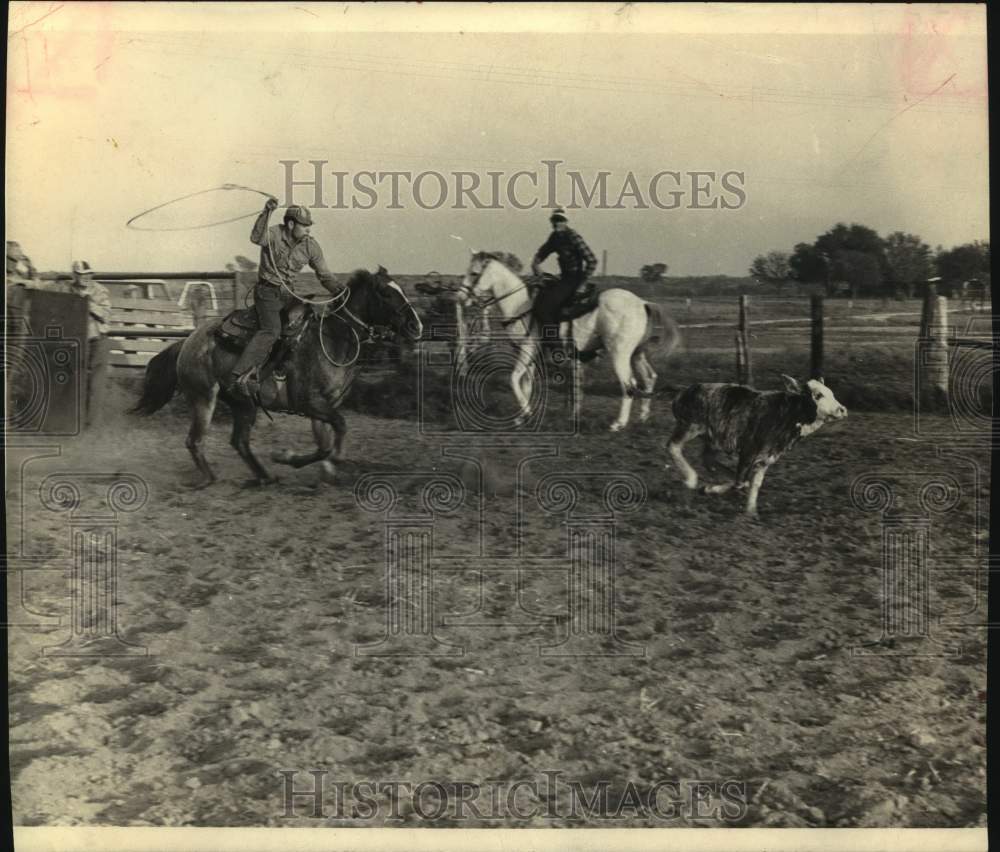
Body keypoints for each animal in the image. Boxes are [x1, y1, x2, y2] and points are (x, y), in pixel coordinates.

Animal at [130, 270, 422, 490]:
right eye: (386, 293)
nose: (415, 326)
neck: (333, 339)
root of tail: (188, 341)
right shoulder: (310, 403)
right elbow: (336, 432)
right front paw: (289, 457)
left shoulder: (323, 406)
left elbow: (324, 444)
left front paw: (323, 474)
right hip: (204, 397)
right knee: (195, 440)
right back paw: (210, 479)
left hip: (243, 404)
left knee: (239, 442)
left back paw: (265, 476)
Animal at [458, 250, 680, 430]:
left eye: (474, 273)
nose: (461, 298)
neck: (521, 306)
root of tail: (642, 303)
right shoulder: (530, 353)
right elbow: (526, 383)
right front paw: (523, 417)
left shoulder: (527, 348)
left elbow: (513, 378)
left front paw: (527, 412)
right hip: (637, 353)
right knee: (649, 378)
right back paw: (643, 417)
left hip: (619, 354)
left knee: (629, 384)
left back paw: (618, 423)